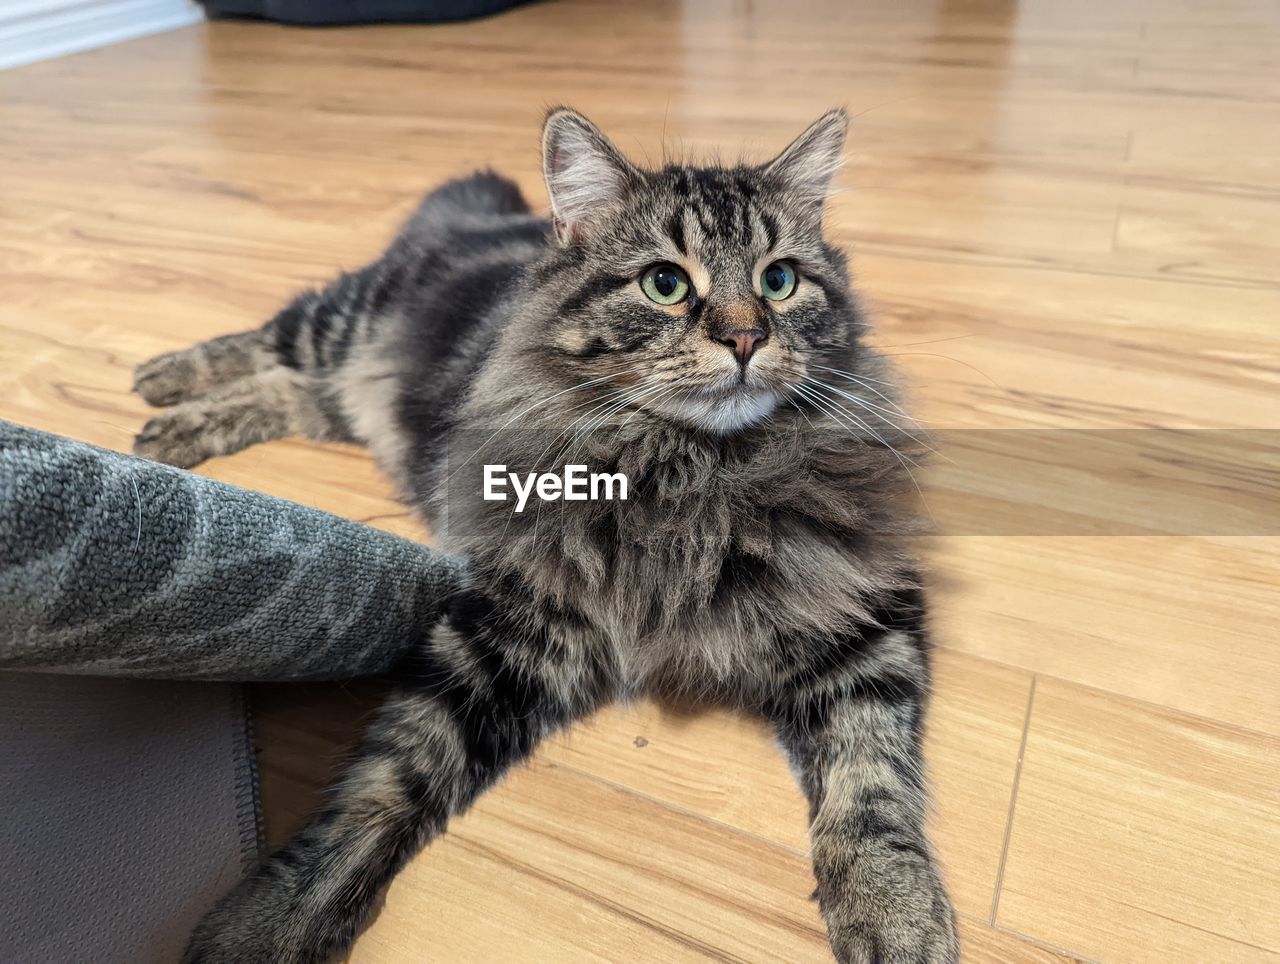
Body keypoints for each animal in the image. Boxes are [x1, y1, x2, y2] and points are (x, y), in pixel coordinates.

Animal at [137, 106, 962, 962]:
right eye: (665, 284)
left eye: (779, 280)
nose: (744, 339)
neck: (687, 478)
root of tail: (496, 216)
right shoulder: (504, 632)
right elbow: (378, 787)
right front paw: (270, 920)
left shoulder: (865, 622)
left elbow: (870, 786)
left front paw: (893, 913)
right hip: (341, 323)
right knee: (270, 340)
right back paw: (166, 390)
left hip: (345, 395)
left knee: (294, 391)